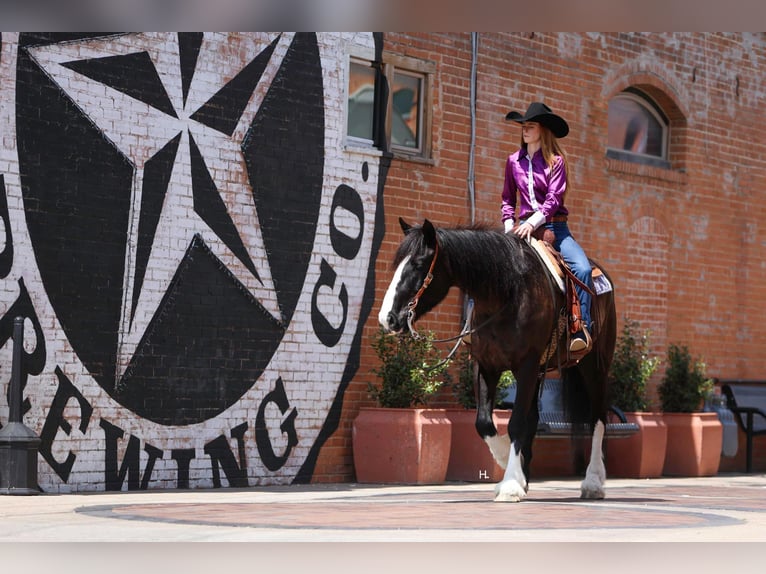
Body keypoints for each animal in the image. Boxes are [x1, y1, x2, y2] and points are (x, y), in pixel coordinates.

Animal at [378, 218, 617, 502]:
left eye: (417, 264)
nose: (388, 319)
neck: (507, 293)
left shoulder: (526, 365)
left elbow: (516, 423)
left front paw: (510, 484)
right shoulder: (486, 365)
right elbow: (484, 422)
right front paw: (508, 465)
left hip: (594, 368)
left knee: (598, 419)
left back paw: (593, 482)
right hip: (541, 372)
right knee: (535, 419)